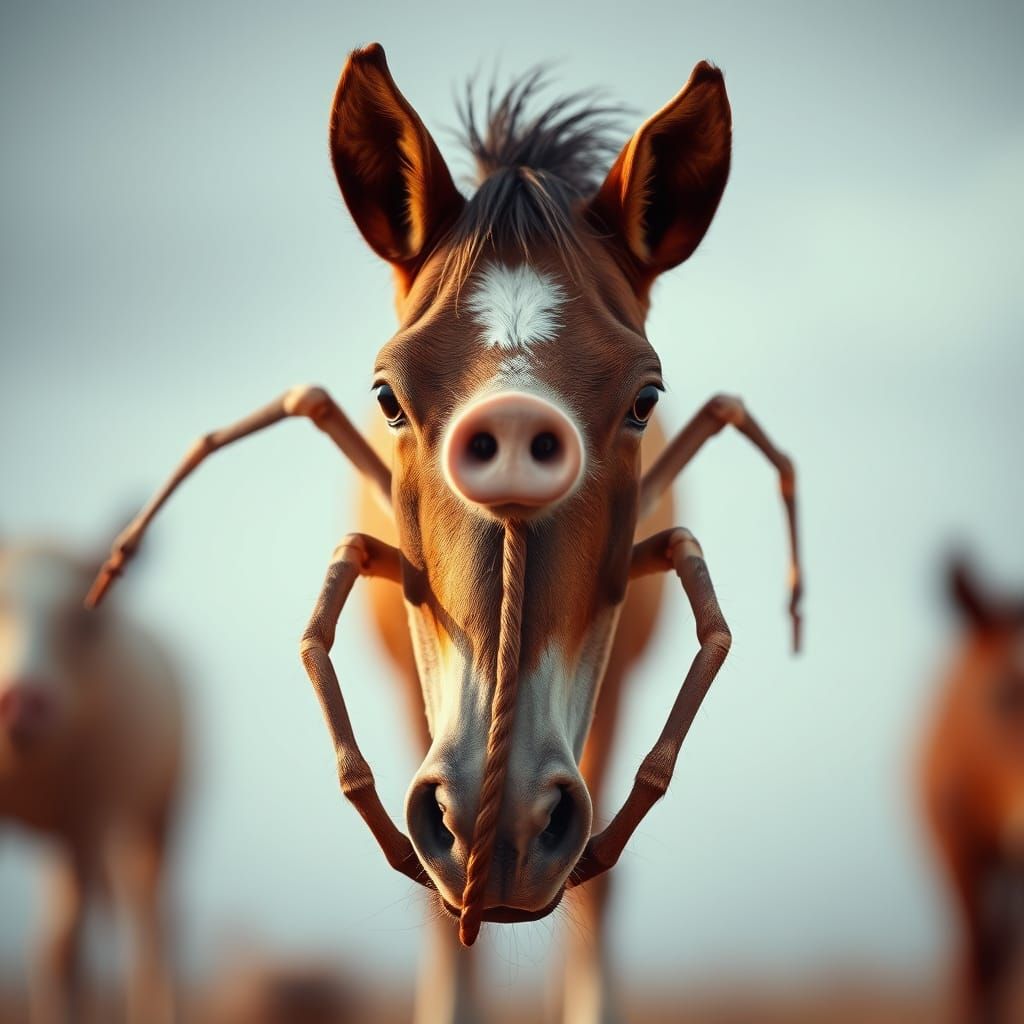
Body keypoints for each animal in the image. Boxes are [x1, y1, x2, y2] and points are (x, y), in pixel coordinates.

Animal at [0, 540, 184, 1023]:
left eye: (84, 623)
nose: (22, 700)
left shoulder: (87, 814)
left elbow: (65, 950)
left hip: (160, 810)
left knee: (151, 919)